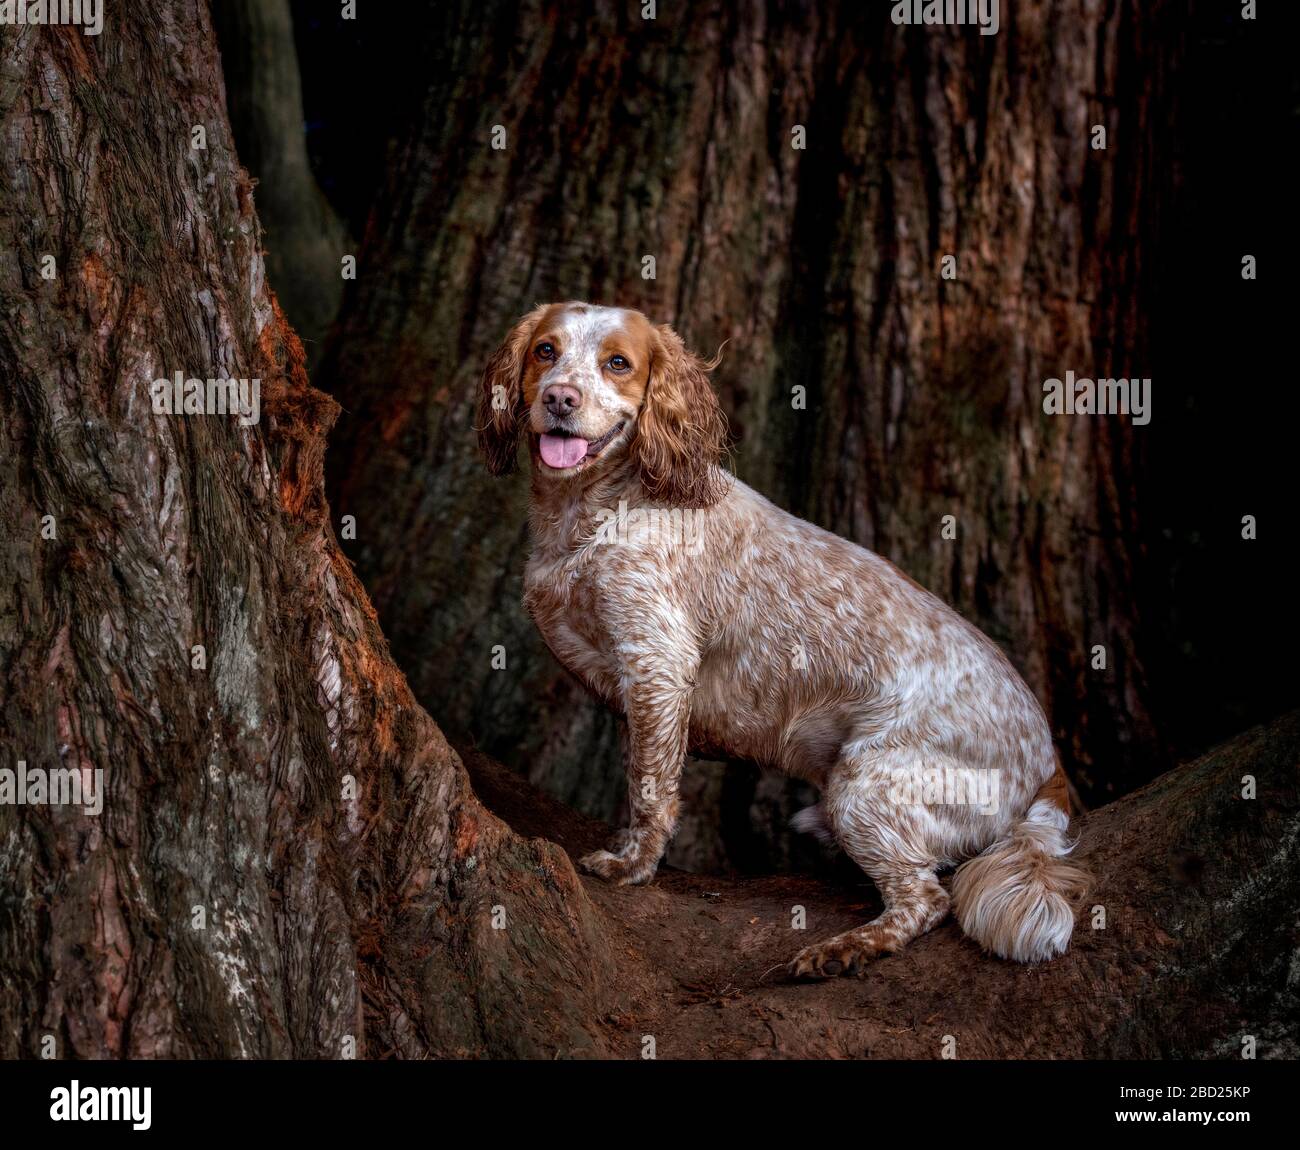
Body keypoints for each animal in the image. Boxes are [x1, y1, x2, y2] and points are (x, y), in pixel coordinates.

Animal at [478, 300, 1086, 971]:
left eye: (618, 363)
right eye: (545, 351)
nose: (560, 398)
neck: (596, 506)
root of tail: (1048, 765)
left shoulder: (657, 661)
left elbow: (650, 785)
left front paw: (635, 863)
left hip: (862, 788)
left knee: (926, 899)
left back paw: (844, 949)